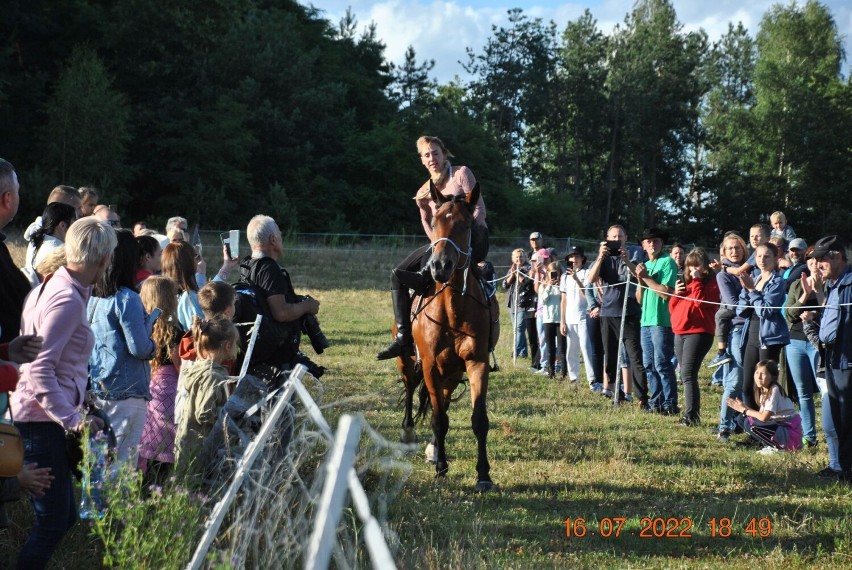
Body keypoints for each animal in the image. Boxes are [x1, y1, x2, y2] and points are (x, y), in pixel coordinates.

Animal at [396, 180, 496, 490]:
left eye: (466, 225)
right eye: (435, 221)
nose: (440, 266)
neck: (453, 311)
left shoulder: (476, 363)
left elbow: (478, 420)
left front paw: (484, 475)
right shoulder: (429, 365)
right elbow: (438, 419)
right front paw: (441, 468)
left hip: (452, 372)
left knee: (441, 402)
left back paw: (433, 447)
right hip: (408, 361)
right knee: (411, 389)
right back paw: (409, 435)